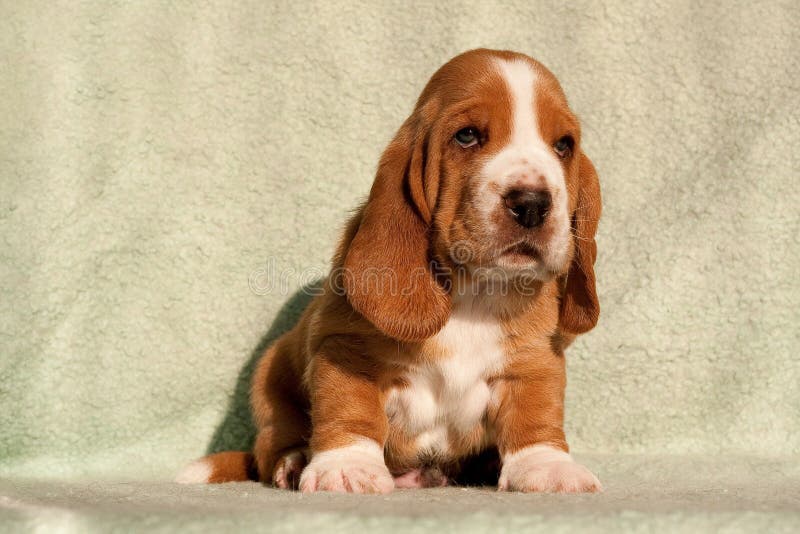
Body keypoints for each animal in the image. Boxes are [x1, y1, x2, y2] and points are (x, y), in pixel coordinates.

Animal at [175, 49, 600, 494]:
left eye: (563, 145)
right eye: (467, 136)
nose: (533, 204)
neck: (474, 294)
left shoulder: (533, 361)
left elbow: (535, 416)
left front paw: (547, 466)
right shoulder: (344, 350)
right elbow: (350, 412)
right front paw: (347, 466)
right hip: (269, 377)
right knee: (273, 443)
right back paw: (292, 462)